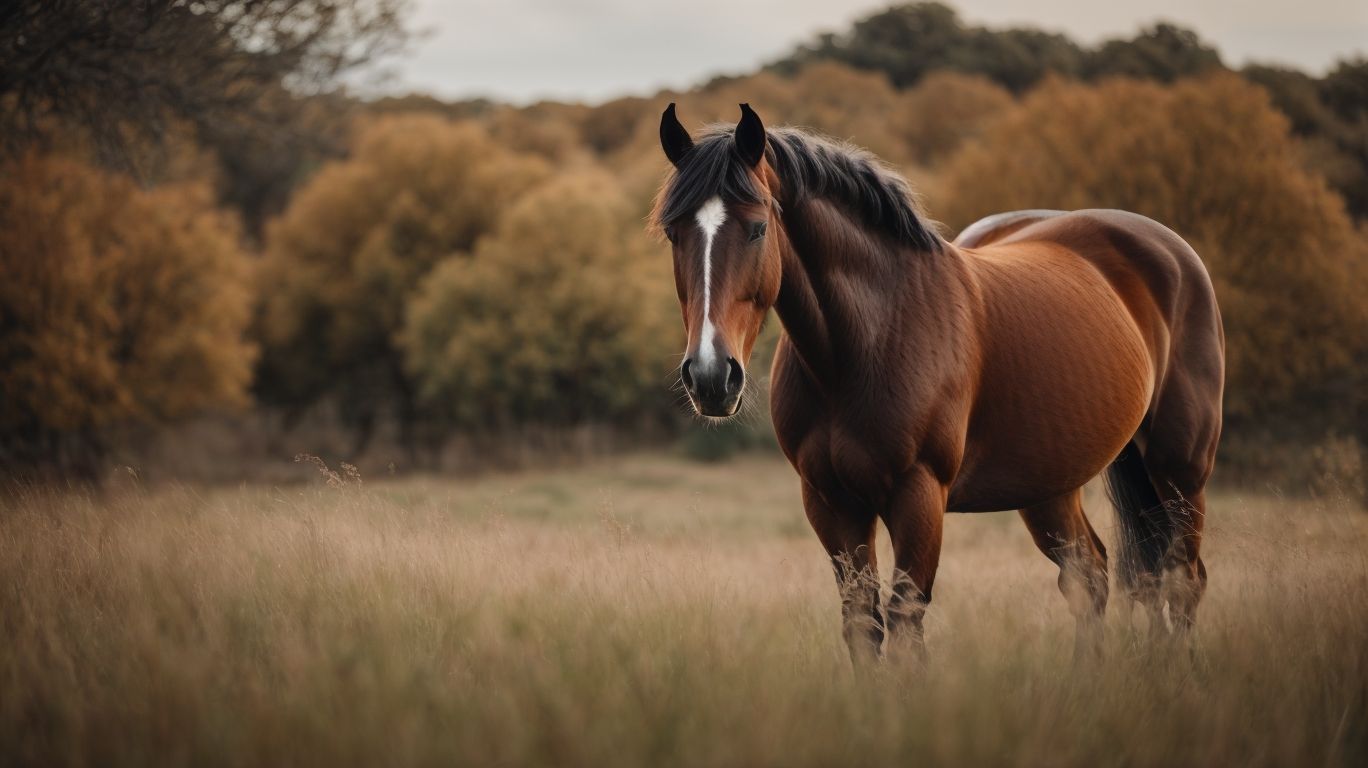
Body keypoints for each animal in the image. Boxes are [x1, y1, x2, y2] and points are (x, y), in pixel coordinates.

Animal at [652, 103, 1224, 664]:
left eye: (756, 228)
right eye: (674, 233)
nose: (710, 375)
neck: (868, 339)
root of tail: (1171, 251)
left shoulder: (919, 495)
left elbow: (906, 623)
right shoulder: (830, 501)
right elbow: (863, 625)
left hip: (1179, 469)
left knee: (1182, 579)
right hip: (1050, 486)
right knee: (1091, 577)